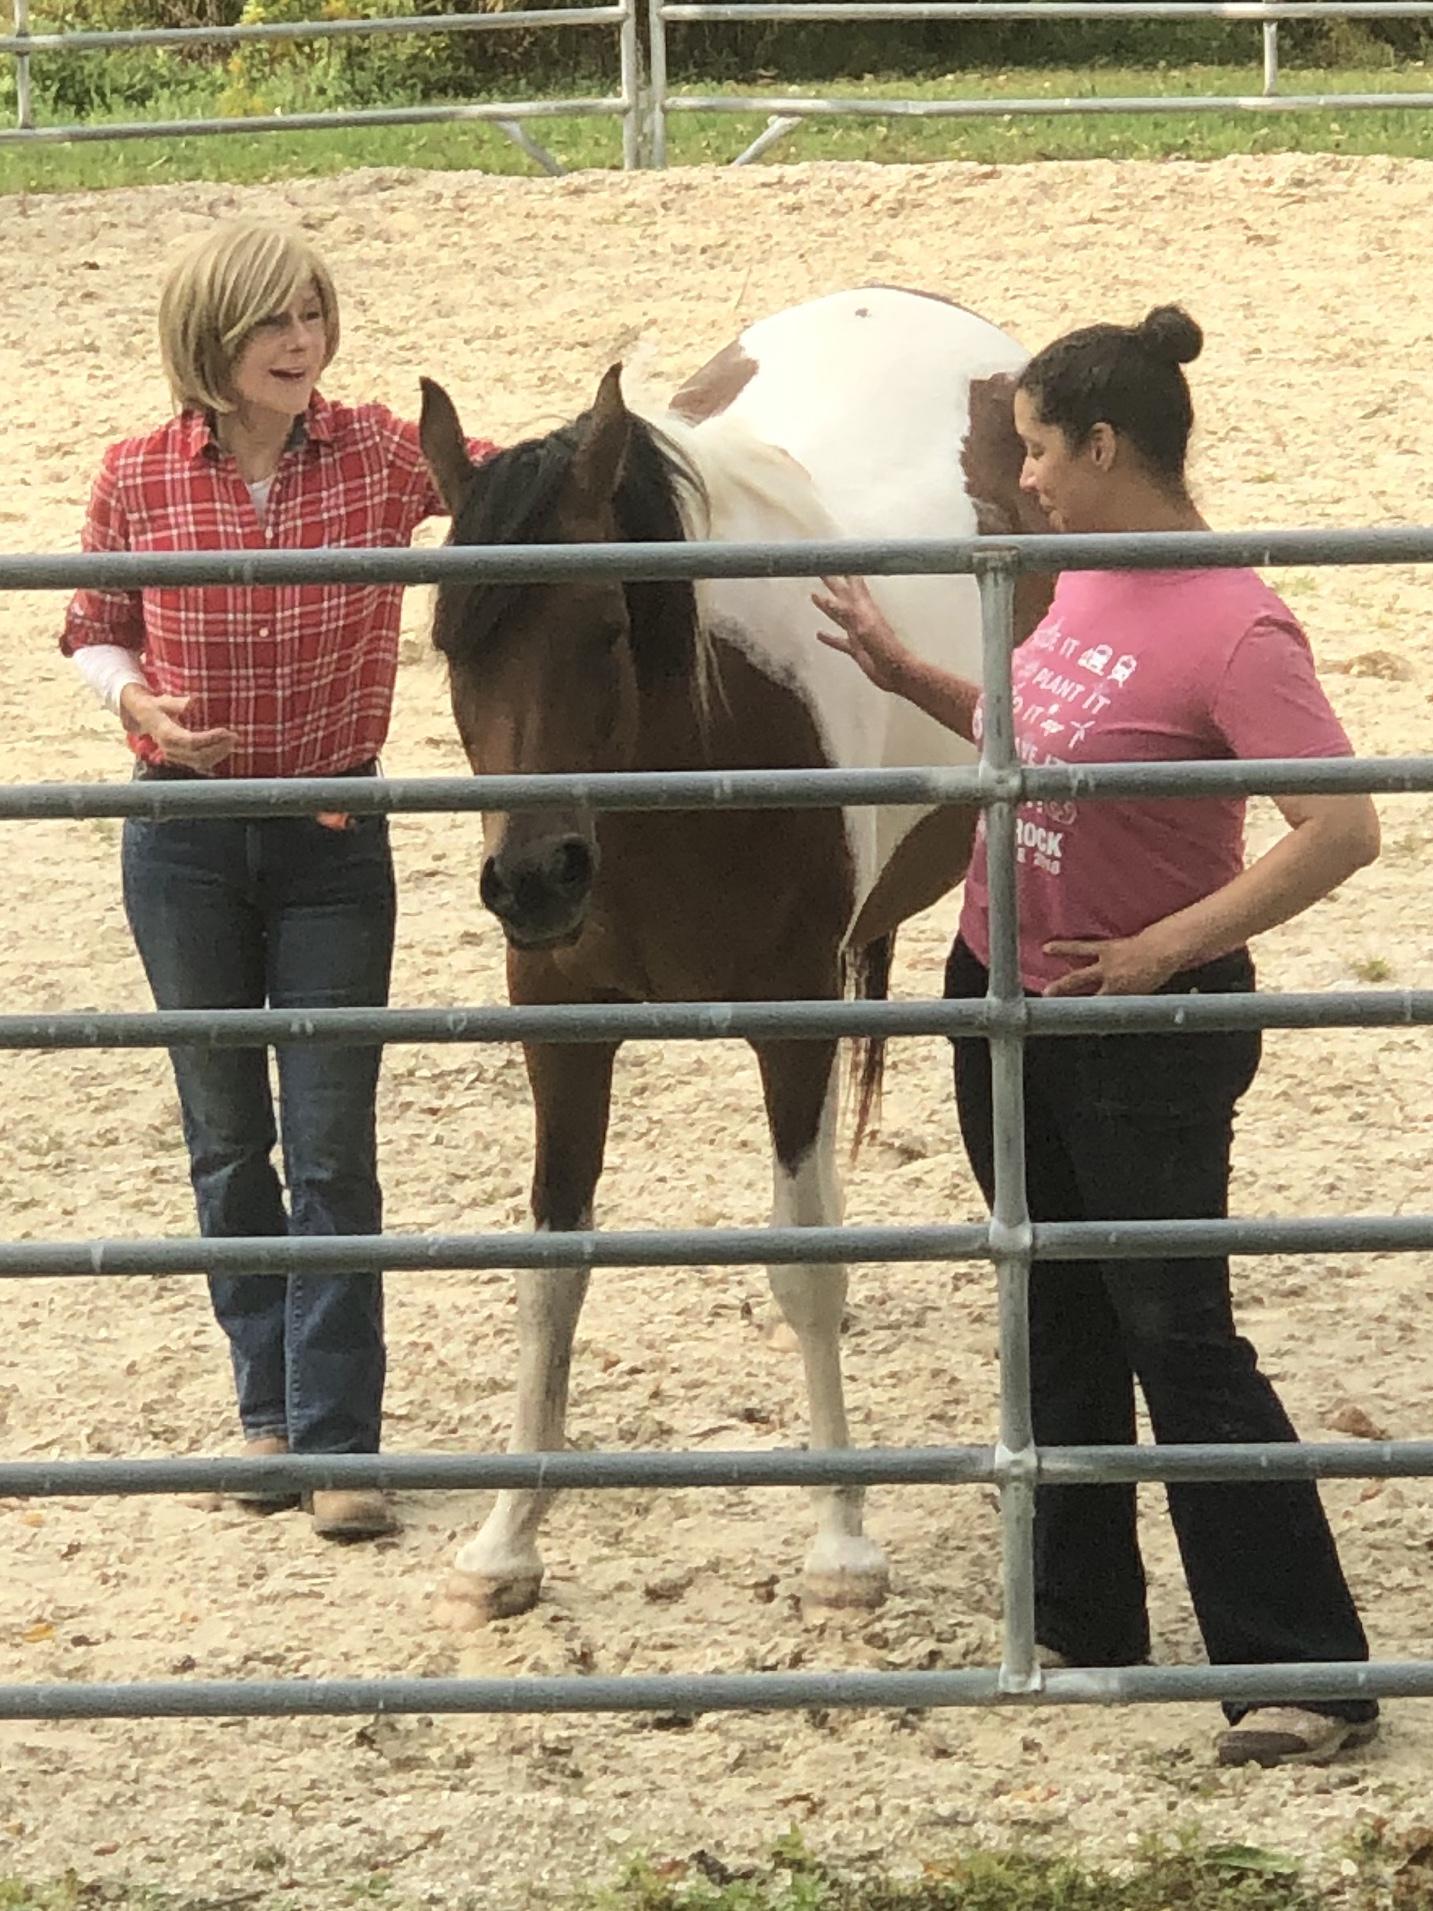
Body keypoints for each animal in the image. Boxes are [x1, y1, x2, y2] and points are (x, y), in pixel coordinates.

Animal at [418, 285, 1053, 1629]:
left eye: (605, 627)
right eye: (452, 640)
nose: (533, 880)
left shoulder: (790, 1019)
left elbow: (800, 1265)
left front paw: (842, 1543)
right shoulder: (557, 1021)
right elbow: (550, 1267)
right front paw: (505, 1543)